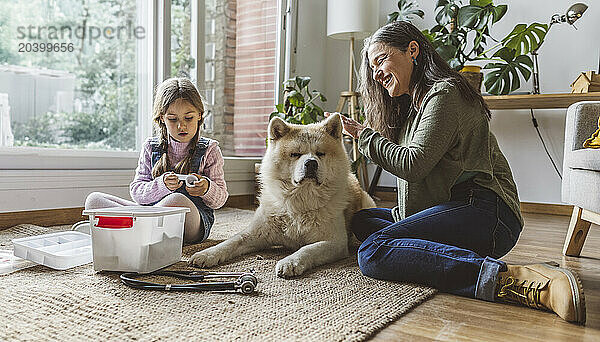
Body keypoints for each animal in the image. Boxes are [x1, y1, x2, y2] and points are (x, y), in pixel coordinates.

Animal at [189, 113, 376, 276]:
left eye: (320, 154)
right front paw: (207, 254)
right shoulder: (254, 234)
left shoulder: (334, 243)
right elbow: (231, 242)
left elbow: (307, 249)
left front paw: (291, 262)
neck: (301, 200)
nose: (311, 163)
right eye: (295, 154)